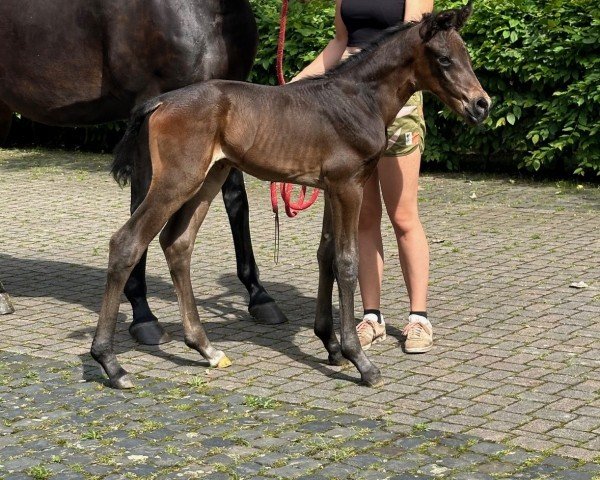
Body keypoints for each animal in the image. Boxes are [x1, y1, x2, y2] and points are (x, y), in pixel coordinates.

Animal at [0, 0, 288, 342]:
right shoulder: (150, 105)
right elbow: (140, 204)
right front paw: (143, 315)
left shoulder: (224, 105)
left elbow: (236, 201)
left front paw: (259, 296)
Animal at [92, 4, 488, 390]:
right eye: (443, 59)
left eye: (466, 54)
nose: (481, 104)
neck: (358, 99)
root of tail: (158, 103)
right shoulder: (348, 186)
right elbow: (347, 262)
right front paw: (360, 360)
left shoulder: (330, 188)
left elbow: (326, 255)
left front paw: (331, 345)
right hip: (177, 181)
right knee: (127, 242)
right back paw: (111, 363)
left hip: (208, 179)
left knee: (178, 243)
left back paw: (206, 348)